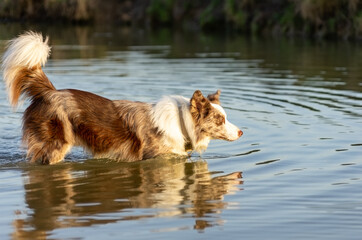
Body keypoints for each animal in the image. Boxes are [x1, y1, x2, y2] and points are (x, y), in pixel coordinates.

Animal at [1, 31, 243, 164]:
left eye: (226, 117)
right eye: (220, 120)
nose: (242, 132)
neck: (182, 123)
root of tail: (49, 90)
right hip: (55, 145)